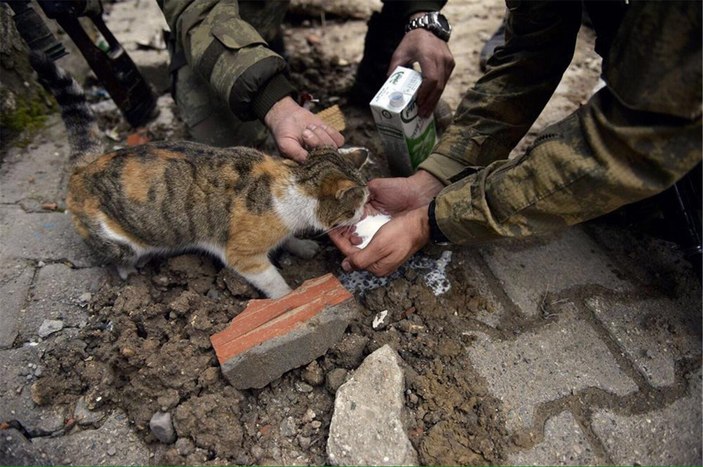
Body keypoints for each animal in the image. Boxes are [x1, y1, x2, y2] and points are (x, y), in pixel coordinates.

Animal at [31, 52, 368, 300]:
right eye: (358, 205)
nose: (365, 214)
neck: (294, 181)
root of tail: (84, 167)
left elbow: (288, 240)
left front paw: (302, 246)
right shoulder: (242, 255)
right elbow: (272, 280)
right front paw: (288, 296)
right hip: (116, 241)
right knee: (118, 258)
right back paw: (132, 271)